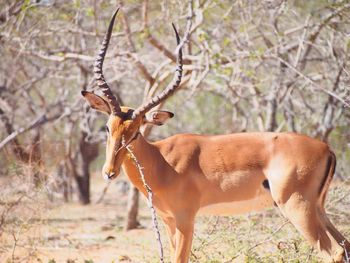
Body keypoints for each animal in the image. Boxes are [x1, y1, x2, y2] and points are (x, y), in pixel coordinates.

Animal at [82, 9, 350, 263]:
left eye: (135, 132)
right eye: (108, 127)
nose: (109, 172)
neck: (161, 161)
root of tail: (326, 148)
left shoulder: (185, 219)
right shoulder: (168, 221)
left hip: (297, 207)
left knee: (334, 252)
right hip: (317, 208)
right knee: (345, 245)